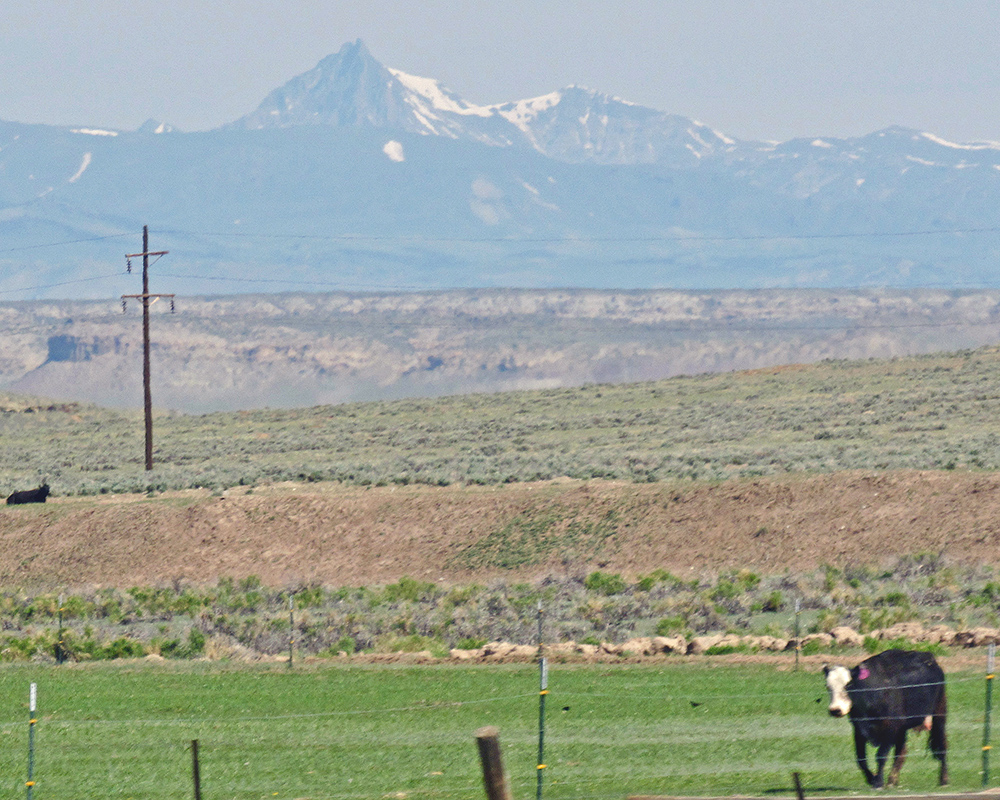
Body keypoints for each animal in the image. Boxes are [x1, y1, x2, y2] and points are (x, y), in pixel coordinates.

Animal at [824, 648, 948, 788]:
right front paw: (871, 778)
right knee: (901, 752)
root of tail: (930, 658)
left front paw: (878, 781)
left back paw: (944, 779)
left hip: (939, 714)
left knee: (942, 745)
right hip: (902, 728)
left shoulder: (890, 728)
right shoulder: (858, 729)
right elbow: (861, 759)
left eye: (849, 684)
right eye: (828, 686)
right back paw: (892, 780)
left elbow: (881, 755)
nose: (835, 710)